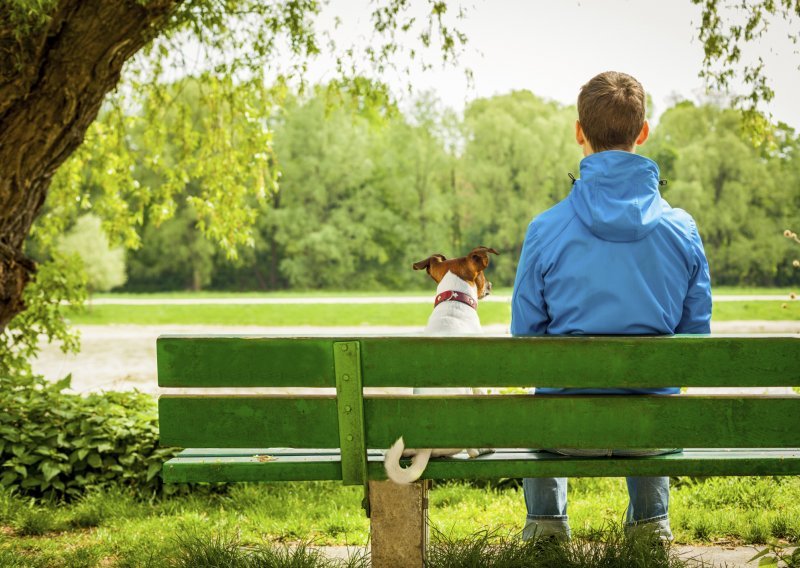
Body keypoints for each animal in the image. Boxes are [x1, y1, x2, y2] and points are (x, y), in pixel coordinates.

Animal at [382, 244, 500, 484]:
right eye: (483, 276)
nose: (491, 285)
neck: (453, 301)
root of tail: (426, 446)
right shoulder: (480, 383)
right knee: (472, 451)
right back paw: (484, 449)